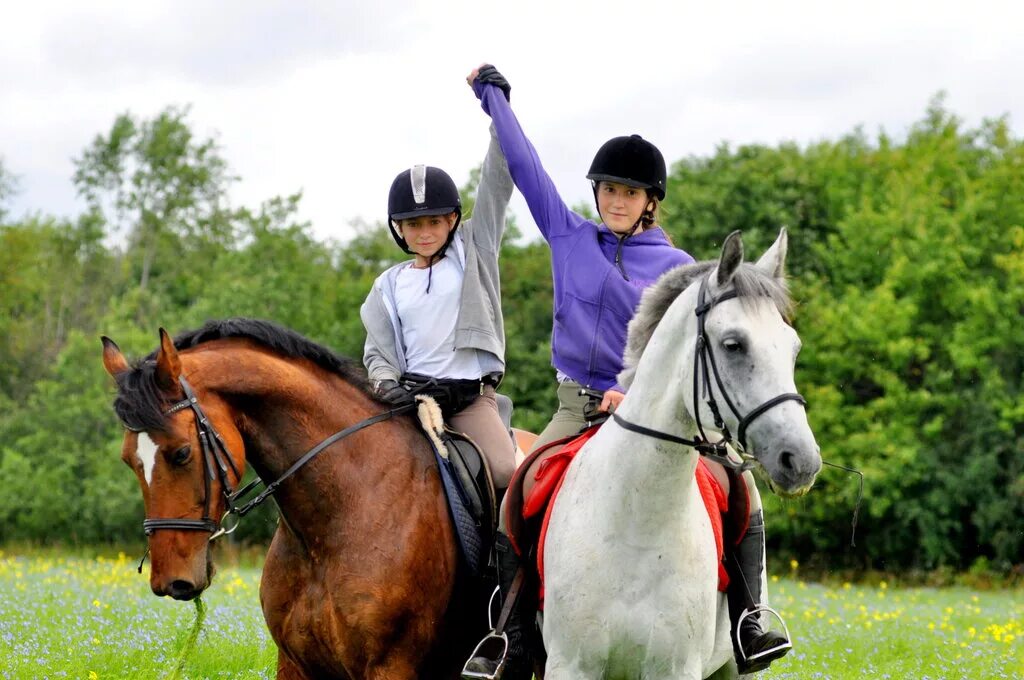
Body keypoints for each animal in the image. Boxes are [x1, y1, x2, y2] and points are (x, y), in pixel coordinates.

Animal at [544, 229, 823, 680]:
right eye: (733, 345)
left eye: (793, 349)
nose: (801, 461)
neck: (638, 524)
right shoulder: (569, 666)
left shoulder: (676, 669)